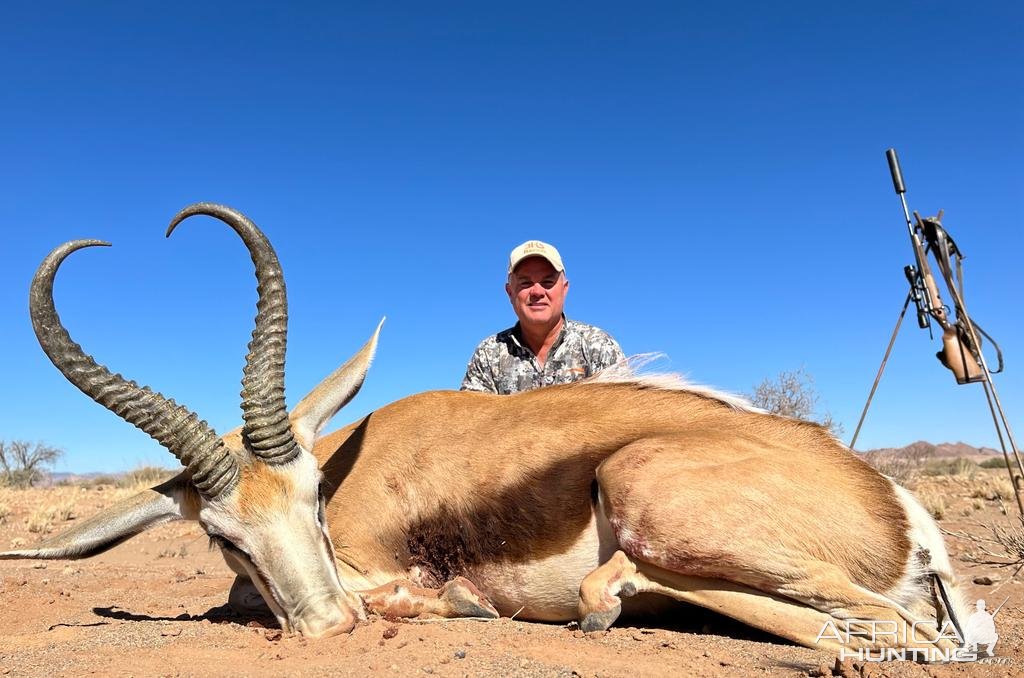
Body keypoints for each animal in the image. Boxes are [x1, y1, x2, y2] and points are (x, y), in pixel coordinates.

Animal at [4, 204, 966, 655]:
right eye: (225, 537)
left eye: (315, 499)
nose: (328, 628)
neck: (358, 461)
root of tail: (897, 510)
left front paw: (441, 603)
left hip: (649, 496)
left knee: (918, 633)